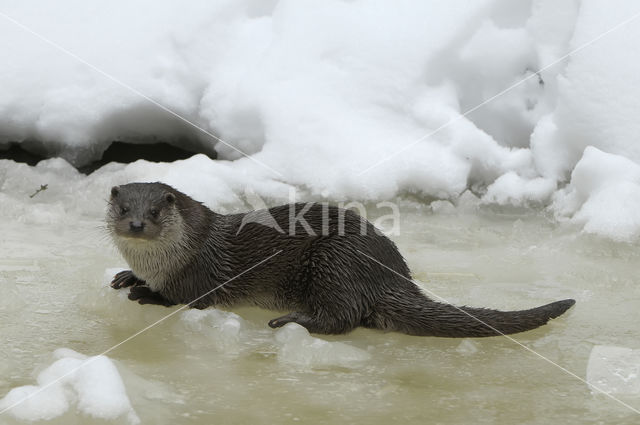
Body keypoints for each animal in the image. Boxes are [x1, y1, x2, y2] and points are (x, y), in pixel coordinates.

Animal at [106, 181, 576, 336]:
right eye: (124, 207)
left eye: (154, 212)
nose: (136, 224)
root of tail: (395, 275)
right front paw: (128, 277)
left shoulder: (199, 273)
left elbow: (188, 299)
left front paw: (146, 294)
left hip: (335, 262)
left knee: (343, 319)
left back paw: (292, 321)